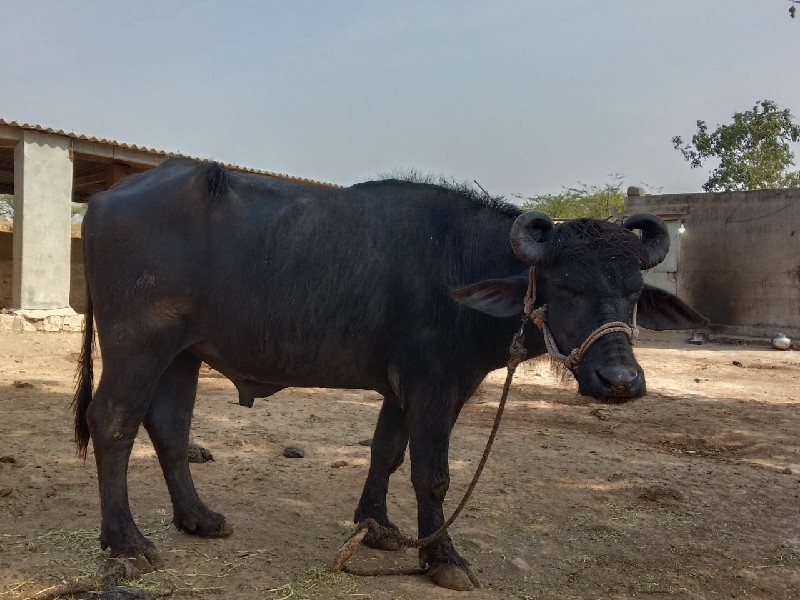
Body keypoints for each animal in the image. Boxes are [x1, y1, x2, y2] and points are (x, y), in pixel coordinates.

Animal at [73, 159, 700, 592]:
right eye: (566, 286)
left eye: (634, 292)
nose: (620, 380)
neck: (461, 262)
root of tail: (101, 202)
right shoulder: (435, 387)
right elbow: (432, 474)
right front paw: (443, 557)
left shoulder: (402, 390)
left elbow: (386, 453)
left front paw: (375, 527)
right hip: (137, 344)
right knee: (112, 423)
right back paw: (126, 542)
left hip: (183, 353)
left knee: (169, 429)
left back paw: (198, 519)